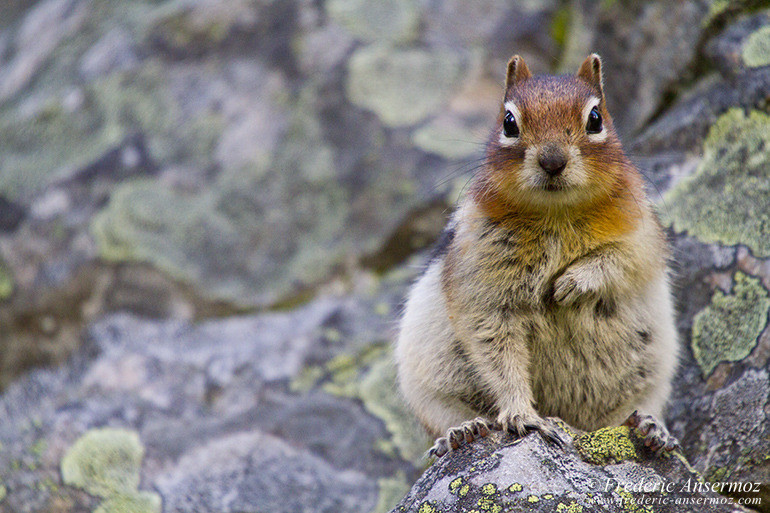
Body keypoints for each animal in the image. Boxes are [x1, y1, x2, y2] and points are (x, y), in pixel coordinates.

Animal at [396, 54, 680, 458]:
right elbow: (497, 354)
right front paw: (522, 415)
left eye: (596, 119)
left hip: (652, 373)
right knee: (447, 415)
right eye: (508, 122)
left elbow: (621, 260)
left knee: (629, 410)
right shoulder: (482, 278)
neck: (555, 212)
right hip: (427, 385)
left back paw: (648, 426)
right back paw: (463, 431)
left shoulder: (642, 234)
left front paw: (571, 284)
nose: (552, 160)